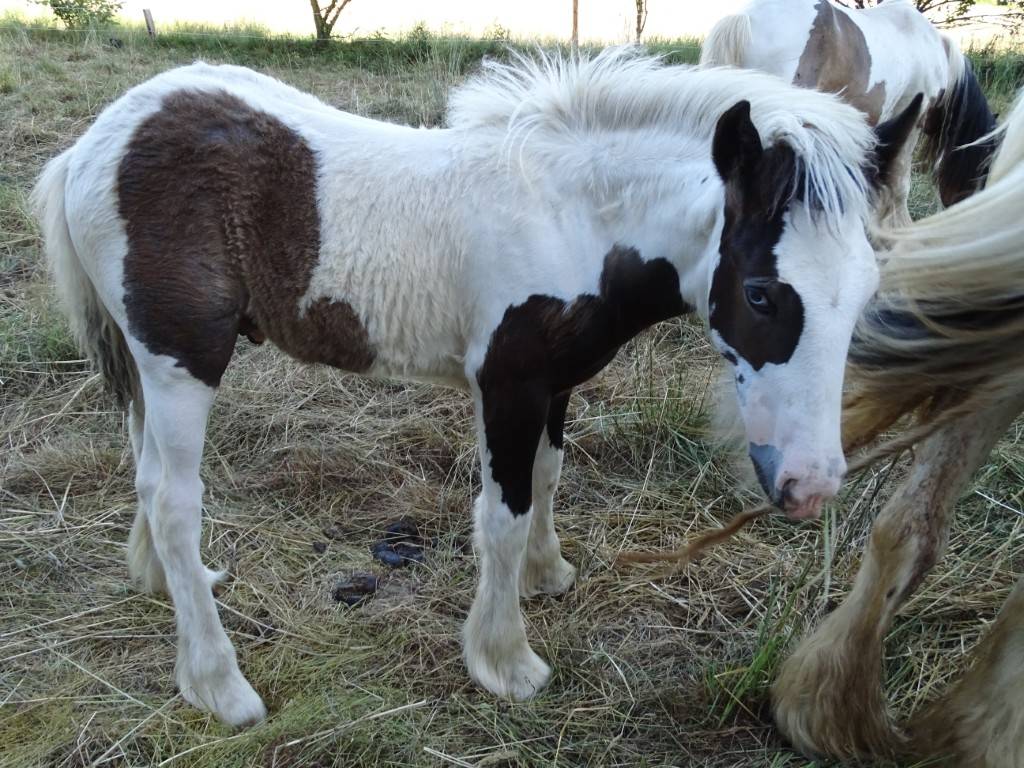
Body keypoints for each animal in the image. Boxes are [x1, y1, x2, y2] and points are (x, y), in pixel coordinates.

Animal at [32, 48, 917, 725]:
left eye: (869, 287)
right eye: (762, 294)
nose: (812, 486)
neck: (572, 219)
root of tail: (92, 146)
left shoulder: (556, 383)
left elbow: (549, 479)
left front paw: (548, 576)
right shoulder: (508, 383)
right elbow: (502, 512)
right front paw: (505, 660)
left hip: (147, 363)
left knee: (147, 476)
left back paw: (165, 588)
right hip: (181, 359)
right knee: (174, 499)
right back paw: (220, 688)